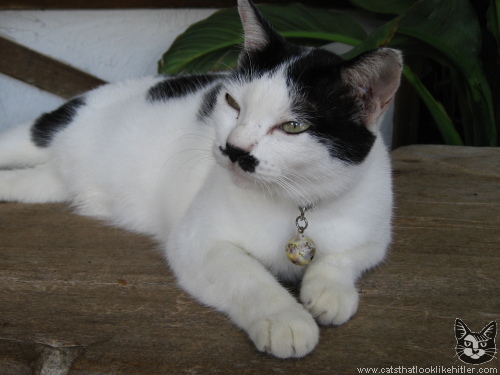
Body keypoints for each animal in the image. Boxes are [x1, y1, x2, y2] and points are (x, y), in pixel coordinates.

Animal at [0, 0, 400, 360]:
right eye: (232, 103)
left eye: (293, 126)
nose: (234, 148)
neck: (294, 203)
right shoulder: (197, 242)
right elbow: (249, 277)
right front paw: (284, 319)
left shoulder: (375, 230)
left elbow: (346, 256)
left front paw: (331, 292)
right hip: (42, 132)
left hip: (46, 184)